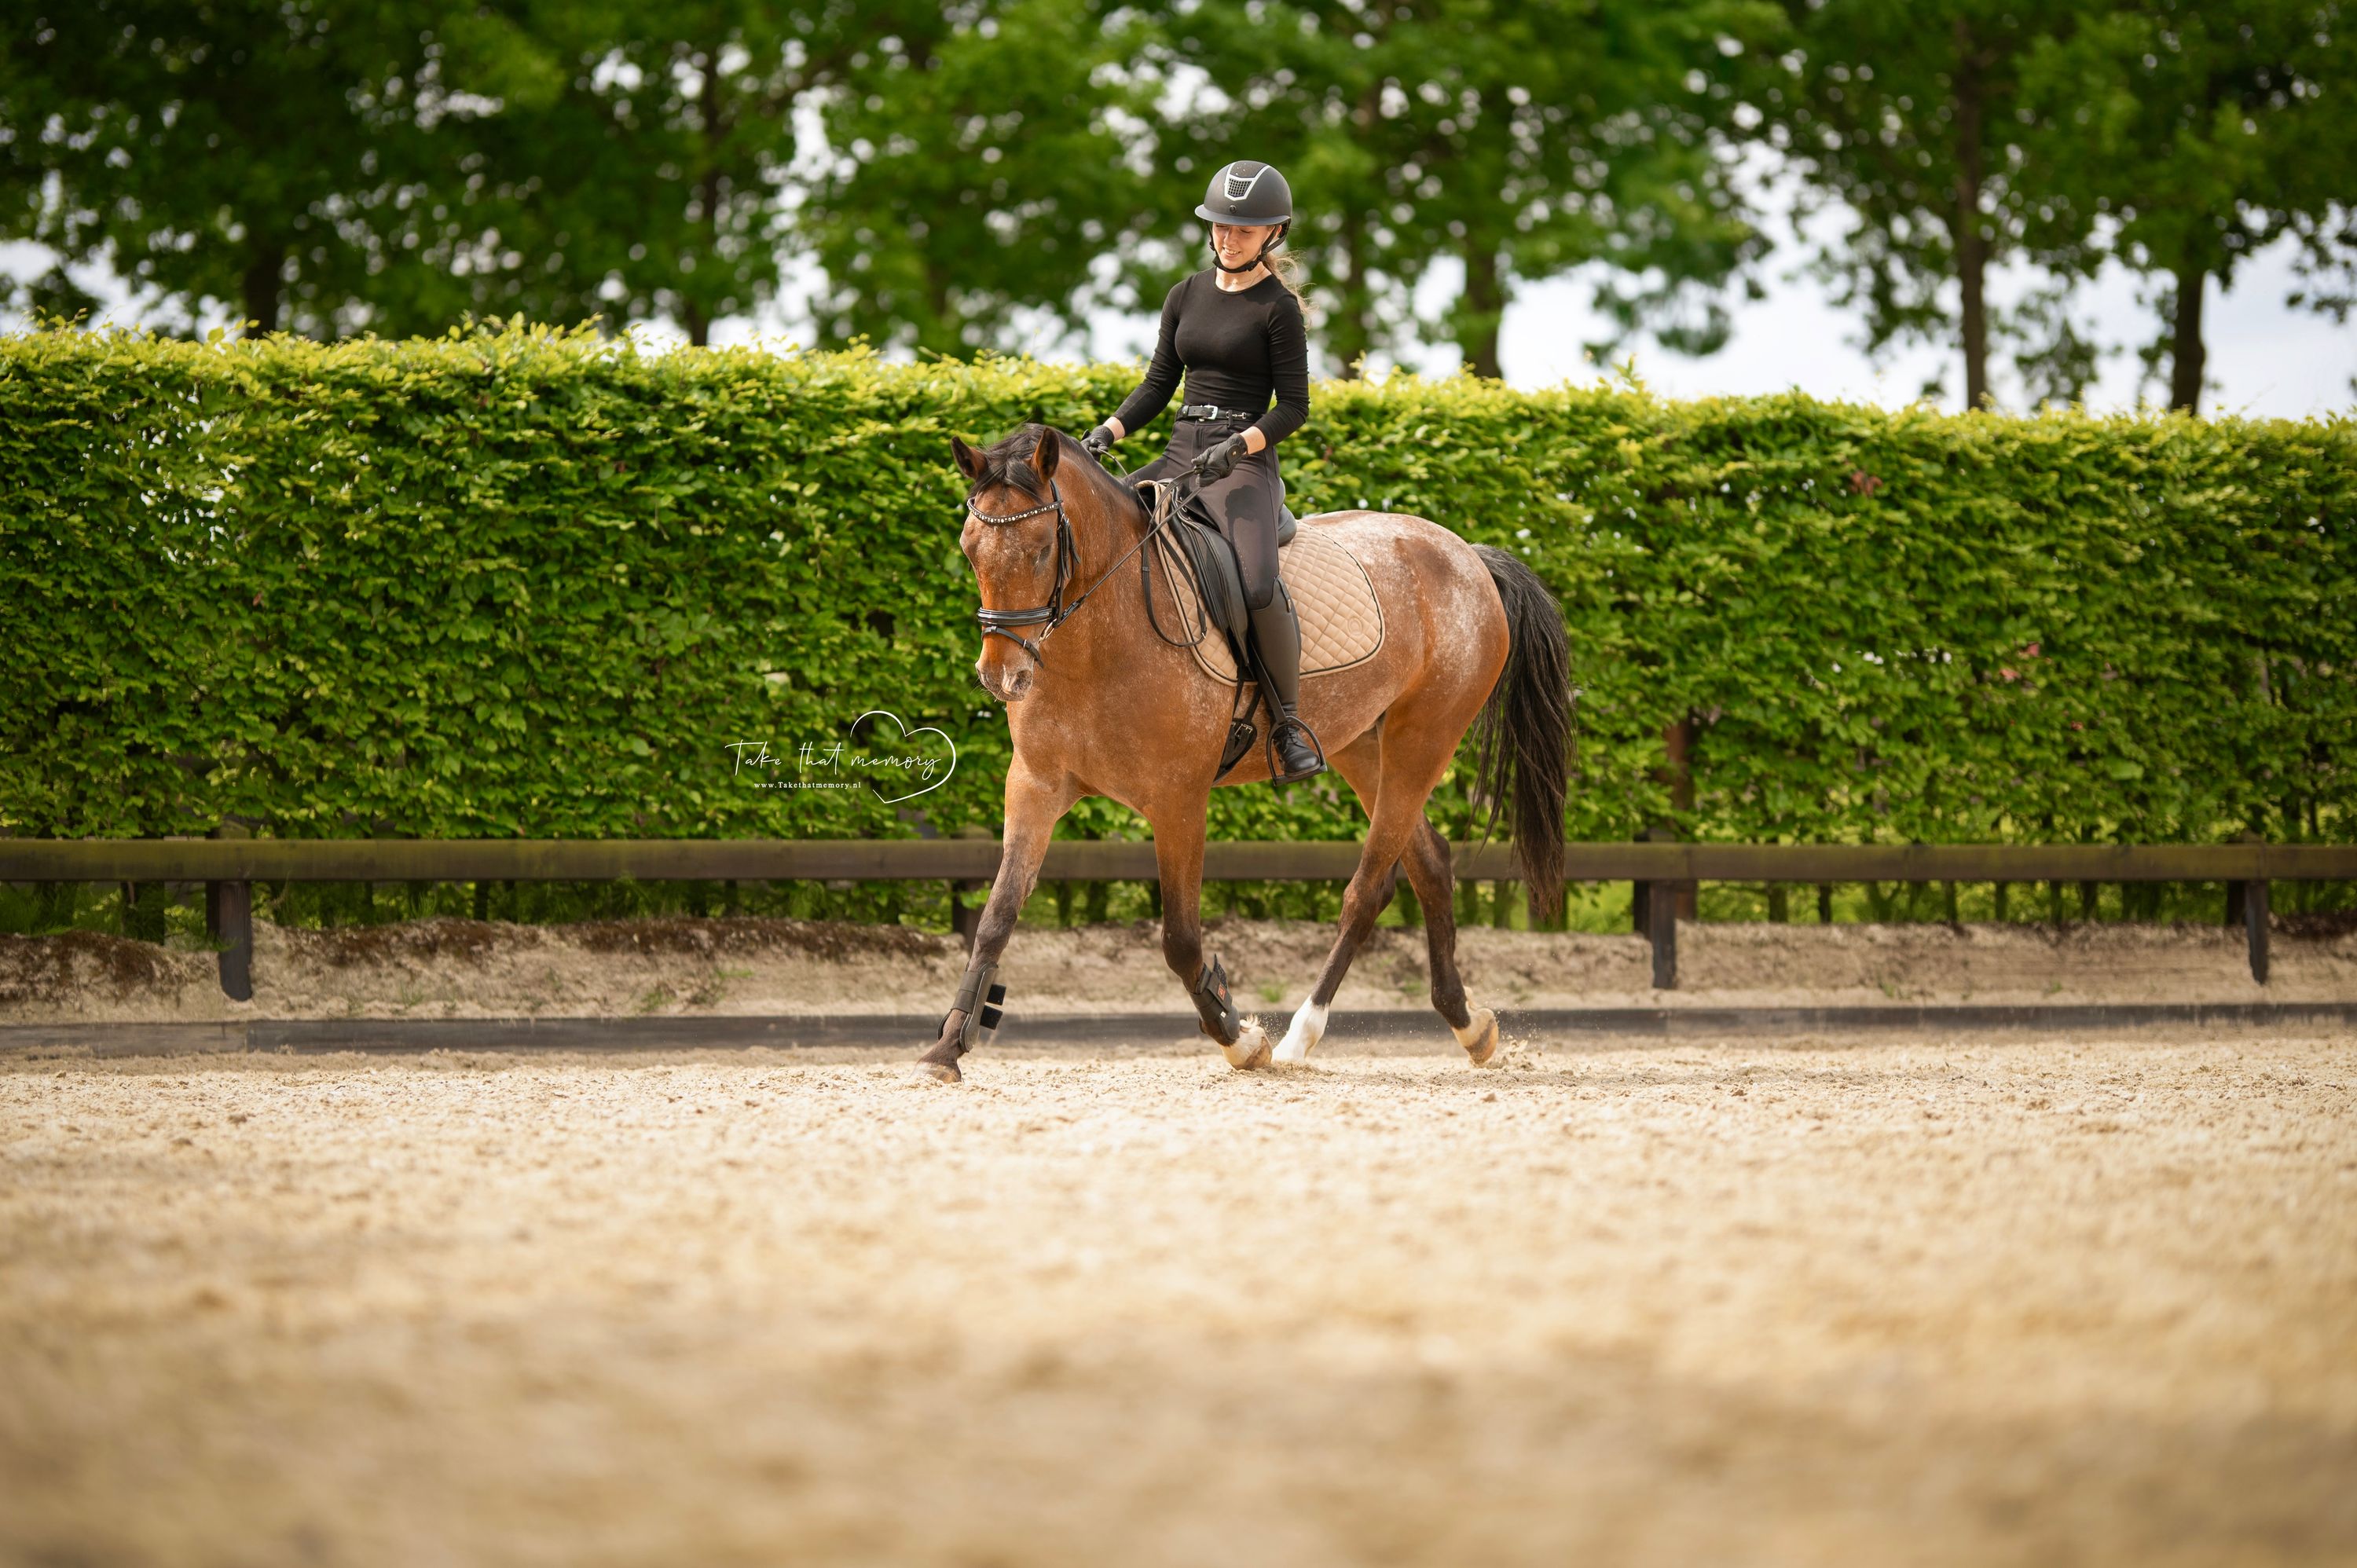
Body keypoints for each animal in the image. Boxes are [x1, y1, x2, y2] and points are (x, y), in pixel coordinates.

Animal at [915, 422, 1572, 1083]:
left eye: (1042, 548)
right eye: (970, 548)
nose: (1001, 676)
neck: (1099, 635)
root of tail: (1468, 555)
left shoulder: (1178, 801)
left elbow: (1180, 939)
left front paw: (1240, 1038)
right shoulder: (1035, 785)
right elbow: (996, 918)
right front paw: (946, 1049)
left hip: (1425, 738)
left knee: (1366, 891)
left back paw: (1301, 1035)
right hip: (1364, 747)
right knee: (1429, 865)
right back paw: (1469, 1026)